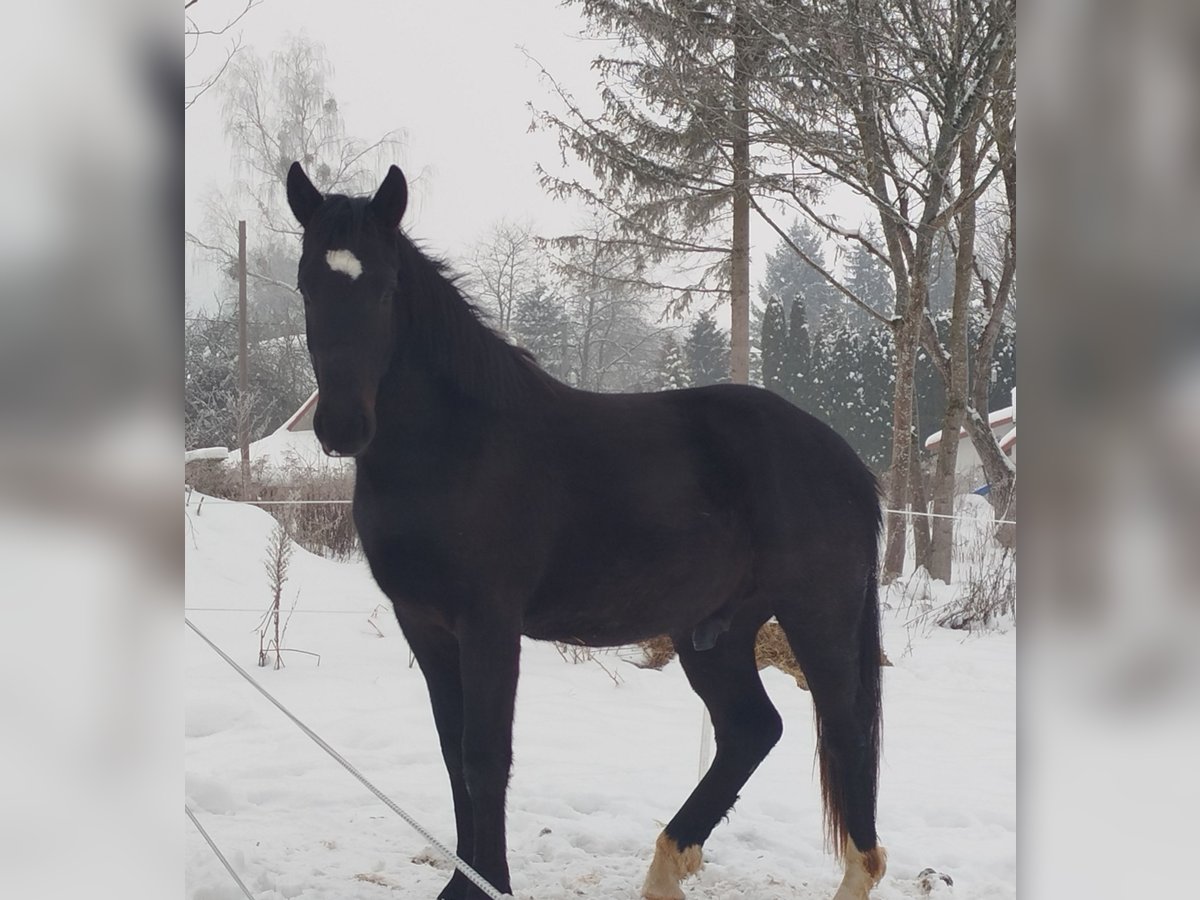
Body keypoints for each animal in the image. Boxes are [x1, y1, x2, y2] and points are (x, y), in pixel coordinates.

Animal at [285, 162, 887, 900]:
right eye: (307, 284)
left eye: (385, 286)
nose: (341, 428)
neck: (456, 445)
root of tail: (847, 464)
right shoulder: (424, 624)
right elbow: (453, 754)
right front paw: (464, 883)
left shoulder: (489, 624)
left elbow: (485, 757)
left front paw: (490, 885)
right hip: (715, 631)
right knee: (752, 730)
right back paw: (667, 865)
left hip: (818, 617)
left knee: (845, 732)